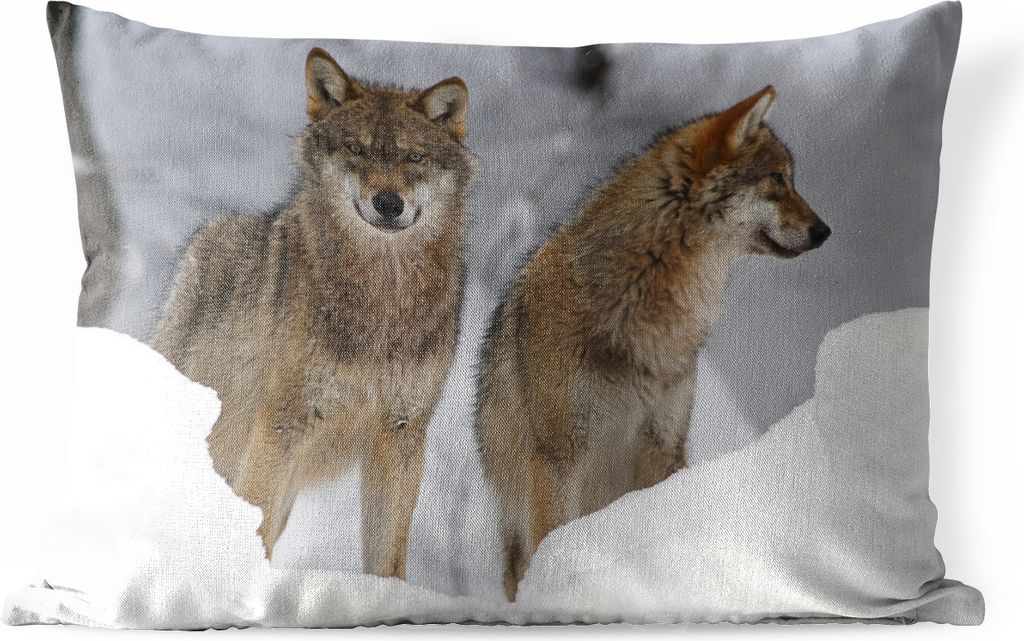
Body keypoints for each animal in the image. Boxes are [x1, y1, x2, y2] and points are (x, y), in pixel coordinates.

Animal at [152, 48, 475, 579]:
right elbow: (257, 524)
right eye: (356, 149)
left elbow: (388, 556)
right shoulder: (283, 424)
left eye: (414, 157)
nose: (389, 203)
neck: (381, 296)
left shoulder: (402, 433)